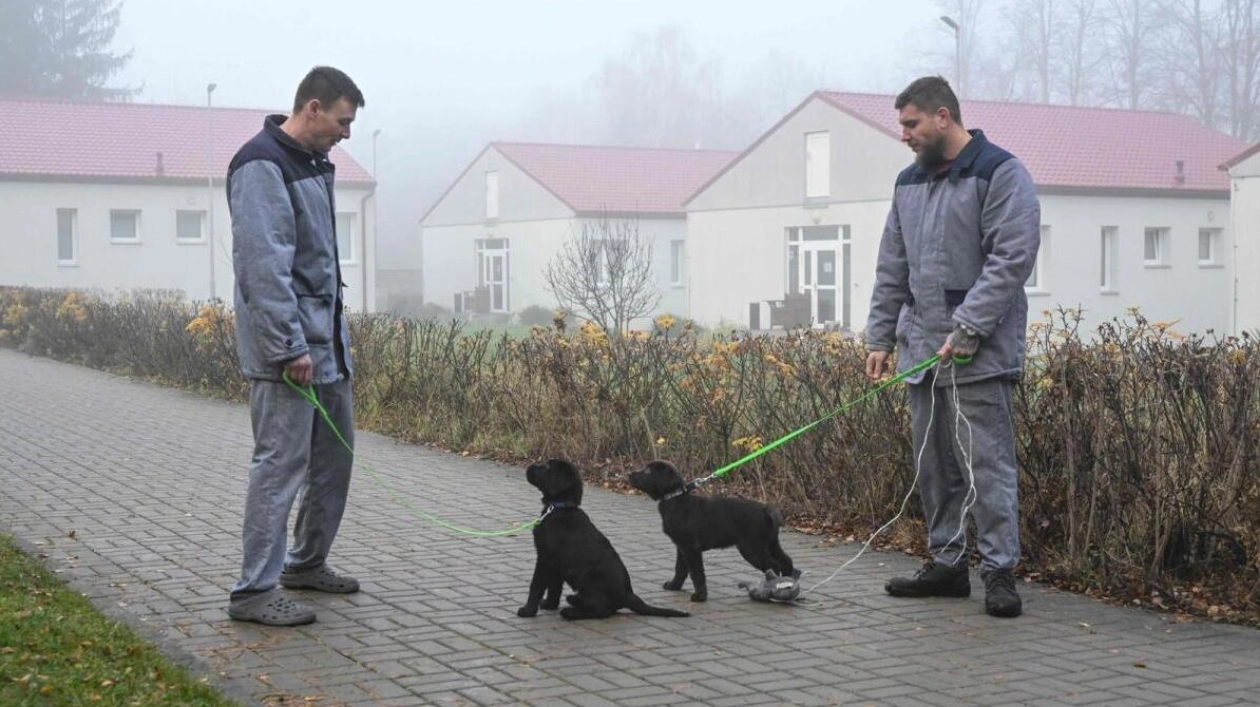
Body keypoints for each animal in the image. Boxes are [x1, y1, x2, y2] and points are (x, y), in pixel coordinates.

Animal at [514, 458, 690, 617]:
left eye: (547, 467)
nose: (529, 467)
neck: (561, 508)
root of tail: (628, 595)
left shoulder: (544, 557)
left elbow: (536, 585)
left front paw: (527, 610)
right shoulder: (555, 563)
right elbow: (554, 587)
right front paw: (549, 604)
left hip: (591, 579)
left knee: (602, 611)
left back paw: (571, 610)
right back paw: (574, 601)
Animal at [630, 458, 796, 599]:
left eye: (648, 471)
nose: (629, 474)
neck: (675, 499)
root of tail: (766, 510)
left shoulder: (691, 547)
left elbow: (696, 573)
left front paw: (700, 596)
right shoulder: (681, 546)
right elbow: (680, 569)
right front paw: (674, 586)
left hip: (752, 548)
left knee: (773, 565)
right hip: (771, 543)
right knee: (786, 560)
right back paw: (789, 583)